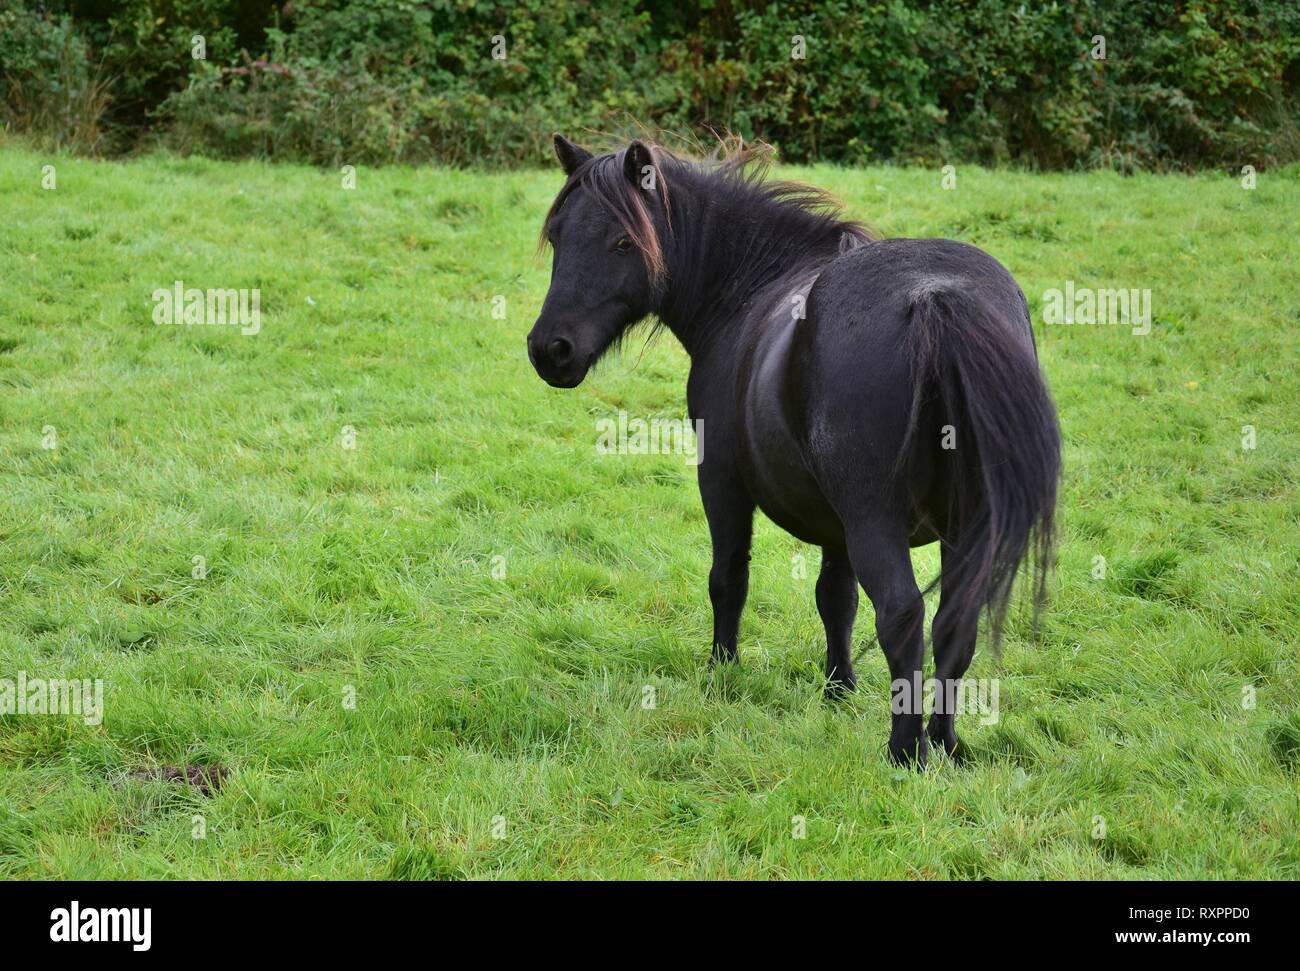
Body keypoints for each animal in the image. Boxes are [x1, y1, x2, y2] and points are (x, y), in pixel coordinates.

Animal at [527, 134, 1055, 769]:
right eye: (559, 235)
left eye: (624, 241)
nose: (550, 350)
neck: (750, 289)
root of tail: (936, 299)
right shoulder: (836, 527)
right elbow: (836, 600)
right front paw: (839, 687)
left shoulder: (722, 482)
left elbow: (729, 578)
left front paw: (722, 671)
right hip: (963, 523)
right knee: (955, 623)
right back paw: (946, 743)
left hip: (878, 520)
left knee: (903, 616)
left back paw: (906, 751)